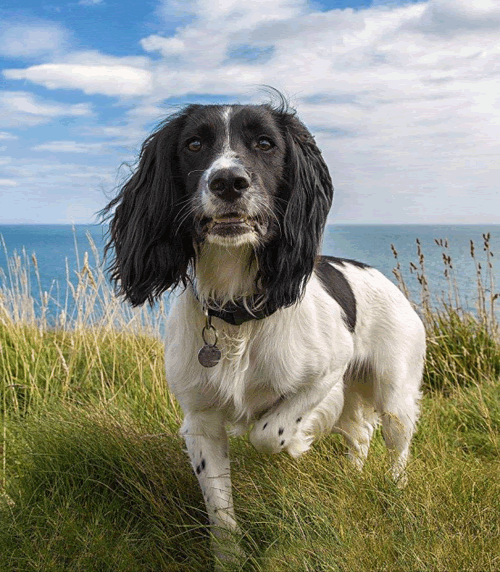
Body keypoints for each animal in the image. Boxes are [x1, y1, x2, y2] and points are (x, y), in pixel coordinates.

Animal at [104, 96, 426, 567]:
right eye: (194, 144)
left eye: (265, 143)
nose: (228, 182)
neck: (239, 315)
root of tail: (383, 277)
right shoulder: (200, 422)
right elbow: (220, 510)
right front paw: (229, 560)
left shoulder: (327, 373)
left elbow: (269, 432)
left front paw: (300, 441)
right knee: (359, 435)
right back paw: (352, 478)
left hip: (394, 393)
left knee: (395, 448)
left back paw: (395, 496)